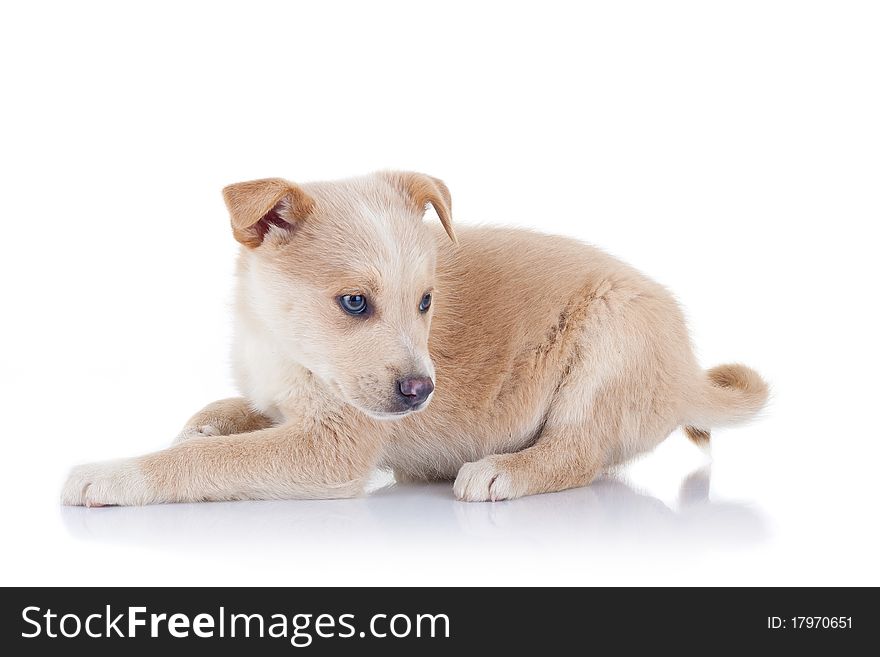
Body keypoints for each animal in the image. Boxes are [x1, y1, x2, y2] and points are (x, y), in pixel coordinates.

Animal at [62, 172, 768, 504]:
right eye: (355, 302)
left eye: (426, 302)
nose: (421, 392)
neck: (289, 346)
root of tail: (686, 375)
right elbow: (229, 420)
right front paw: (208, 421)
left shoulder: (330, 446)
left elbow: (204, 462)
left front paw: (108, 473)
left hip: (614, 333)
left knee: (576, 452)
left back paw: (504, 470)